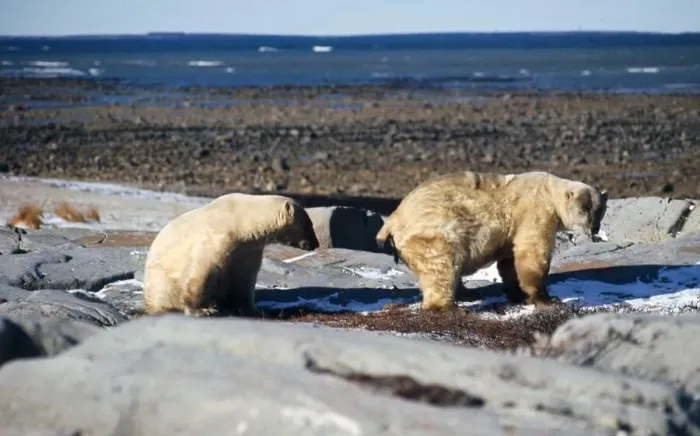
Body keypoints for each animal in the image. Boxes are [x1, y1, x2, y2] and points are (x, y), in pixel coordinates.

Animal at [143, 193, 320, 317]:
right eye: (309, 225)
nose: (316, 244)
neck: (240, 220)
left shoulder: (247, 249)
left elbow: (243, 278)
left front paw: (253, 310)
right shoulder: (220, 236)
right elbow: (203, 270)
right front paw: (202, 310)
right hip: (159, 278)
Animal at [375, 170, 608, 311]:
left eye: (600, 210)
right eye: (584, 208)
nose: (594, 228)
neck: (550, 190)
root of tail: (393, 219)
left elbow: (509, 261)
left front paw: (517, 293)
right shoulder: (536, 212)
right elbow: (532, 253)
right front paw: (547, 298)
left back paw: (467, 293)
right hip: (434, 230)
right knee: (441, 265)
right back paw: (451, 307)